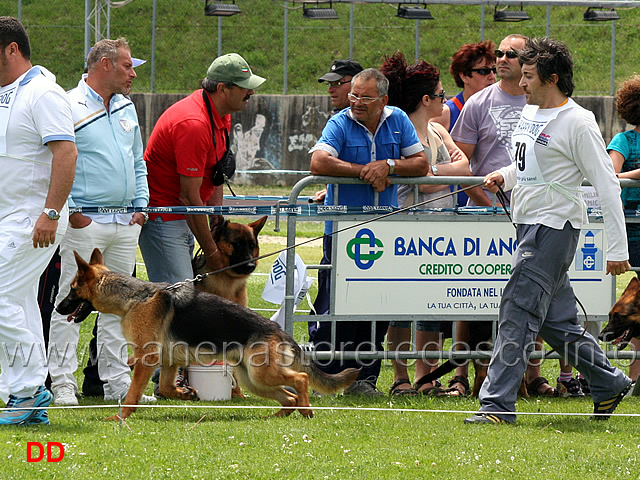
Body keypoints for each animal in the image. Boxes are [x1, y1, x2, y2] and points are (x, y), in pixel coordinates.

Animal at [56, 248, 360, 420]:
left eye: (72, 289)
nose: (58, 308)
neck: (133, 297)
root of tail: (280, 331)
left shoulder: (146, 359)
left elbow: (131, 394)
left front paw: (120, 418)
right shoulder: (169, 362)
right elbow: (168, 387)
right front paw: (187, 394)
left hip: (262, 374)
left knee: (301, 379)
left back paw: (305, 410)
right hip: (252, 380)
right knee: (289, 396)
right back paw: (279, 416)